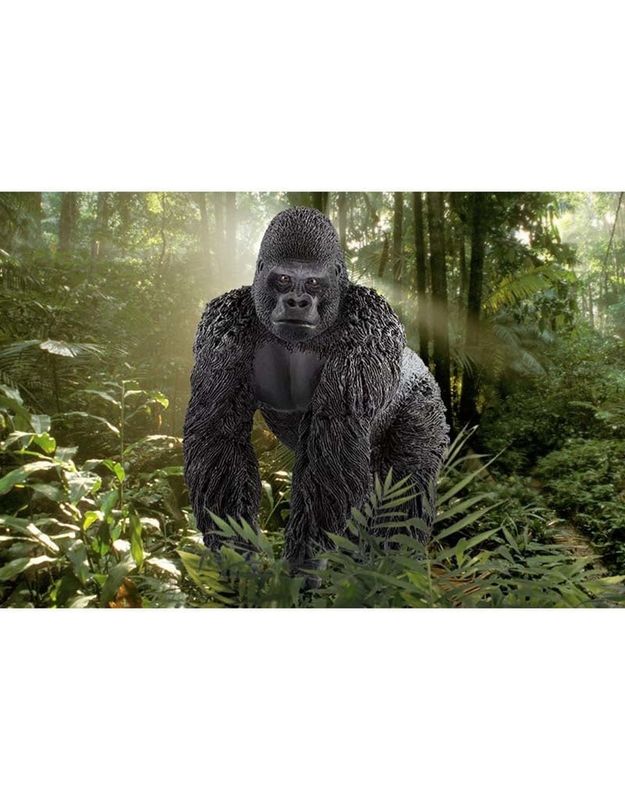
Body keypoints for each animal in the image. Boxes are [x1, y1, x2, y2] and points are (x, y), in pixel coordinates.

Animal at [183, 206, 449, 569]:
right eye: (283, 279)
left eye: (312, 282)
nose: (297, 301)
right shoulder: (222, 322)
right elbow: (218, 434)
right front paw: (236, 552)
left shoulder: (371, 320)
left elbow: (335, 439)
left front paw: (303, 561)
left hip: (426, 402)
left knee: (405, 492)